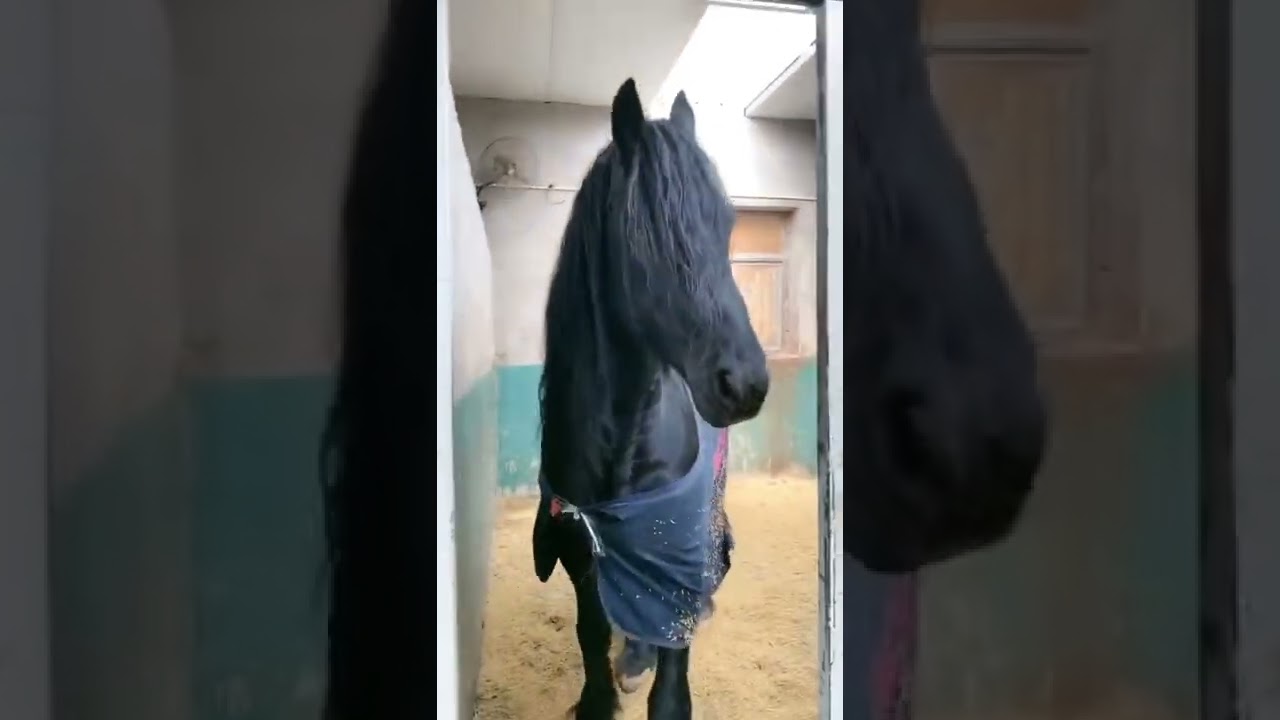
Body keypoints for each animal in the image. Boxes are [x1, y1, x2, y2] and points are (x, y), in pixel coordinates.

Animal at [530, 78, 769, 720]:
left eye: (728, 224)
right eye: (651, 229)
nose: (747, 385)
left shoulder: (677, 557)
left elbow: (671, 670)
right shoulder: (584, 554)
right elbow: (593, 632)